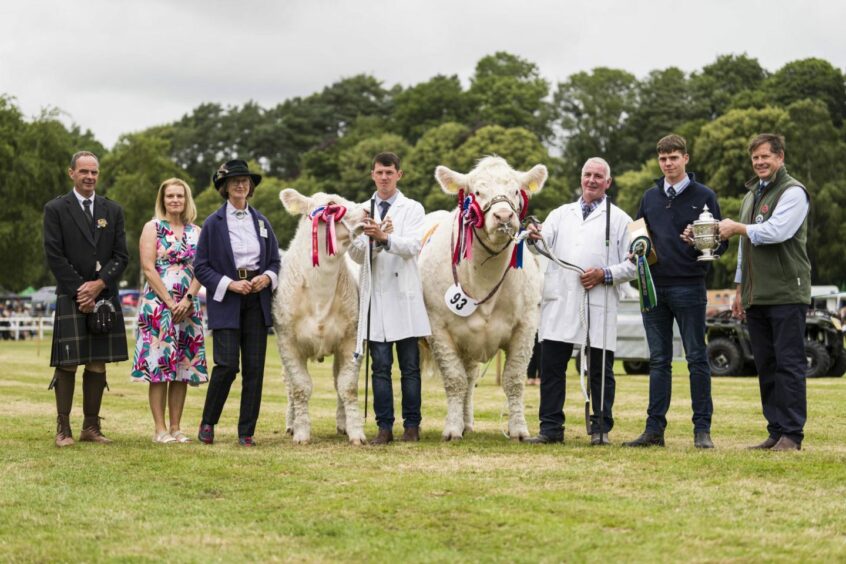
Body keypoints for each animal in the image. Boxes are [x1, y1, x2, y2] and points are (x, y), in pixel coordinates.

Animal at [270, 189, 366, 446]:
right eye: (331, 204)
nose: (367, 210)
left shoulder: (351, 339)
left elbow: (347, 386)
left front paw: (356, 432)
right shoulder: (287, 343)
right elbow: (300, 387)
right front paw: (301, 432)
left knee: (336, 381)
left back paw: (342, 423)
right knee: (289, 386)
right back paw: (291, 423)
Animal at [420, 155, 548, 440]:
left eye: (515, 191)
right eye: (477, 192)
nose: (504, 215)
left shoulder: (526, 327)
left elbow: (514, 379)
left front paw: (519, 429)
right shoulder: (439, 330)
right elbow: (454, 380)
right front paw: (451, 428)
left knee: (471, 377)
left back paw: (467, 422)